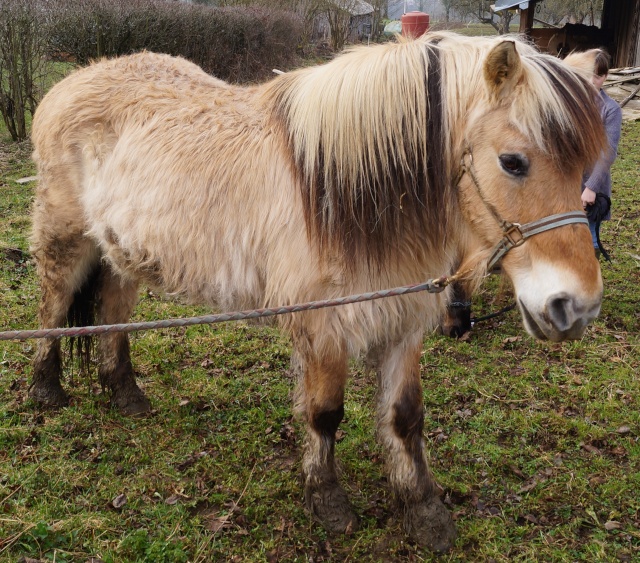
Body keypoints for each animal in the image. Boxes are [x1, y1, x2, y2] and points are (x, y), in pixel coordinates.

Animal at [31, 34, 604, 552]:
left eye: (584, 167)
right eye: (513, 161)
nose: (574, 307)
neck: (348, 197)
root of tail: (71, 81)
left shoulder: (404, 319)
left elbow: (406, 416)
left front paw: (424, 511)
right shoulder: (324, 326)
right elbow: (325, 413)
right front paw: (328, 502)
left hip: (121, 251)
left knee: (113, 312)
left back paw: (125, 393)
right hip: (66, 239)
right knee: (53, 306)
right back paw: (45, 389)